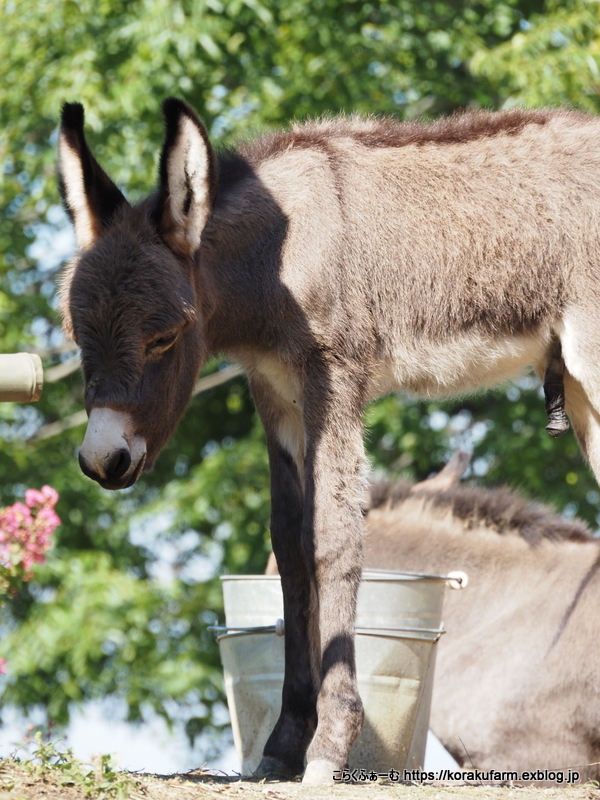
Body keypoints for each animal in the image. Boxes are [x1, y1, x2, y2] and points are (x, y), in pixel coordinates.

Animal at [56, 100, 600, 780]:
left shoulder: (335, 379)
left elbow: (335, 538)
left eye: (163, 338)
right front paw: (284, 744)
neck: (281, 252)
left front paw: (330, 745)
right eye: (77, 337)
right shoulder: (275, 392)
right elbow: (290, 545)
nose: (103, 459)